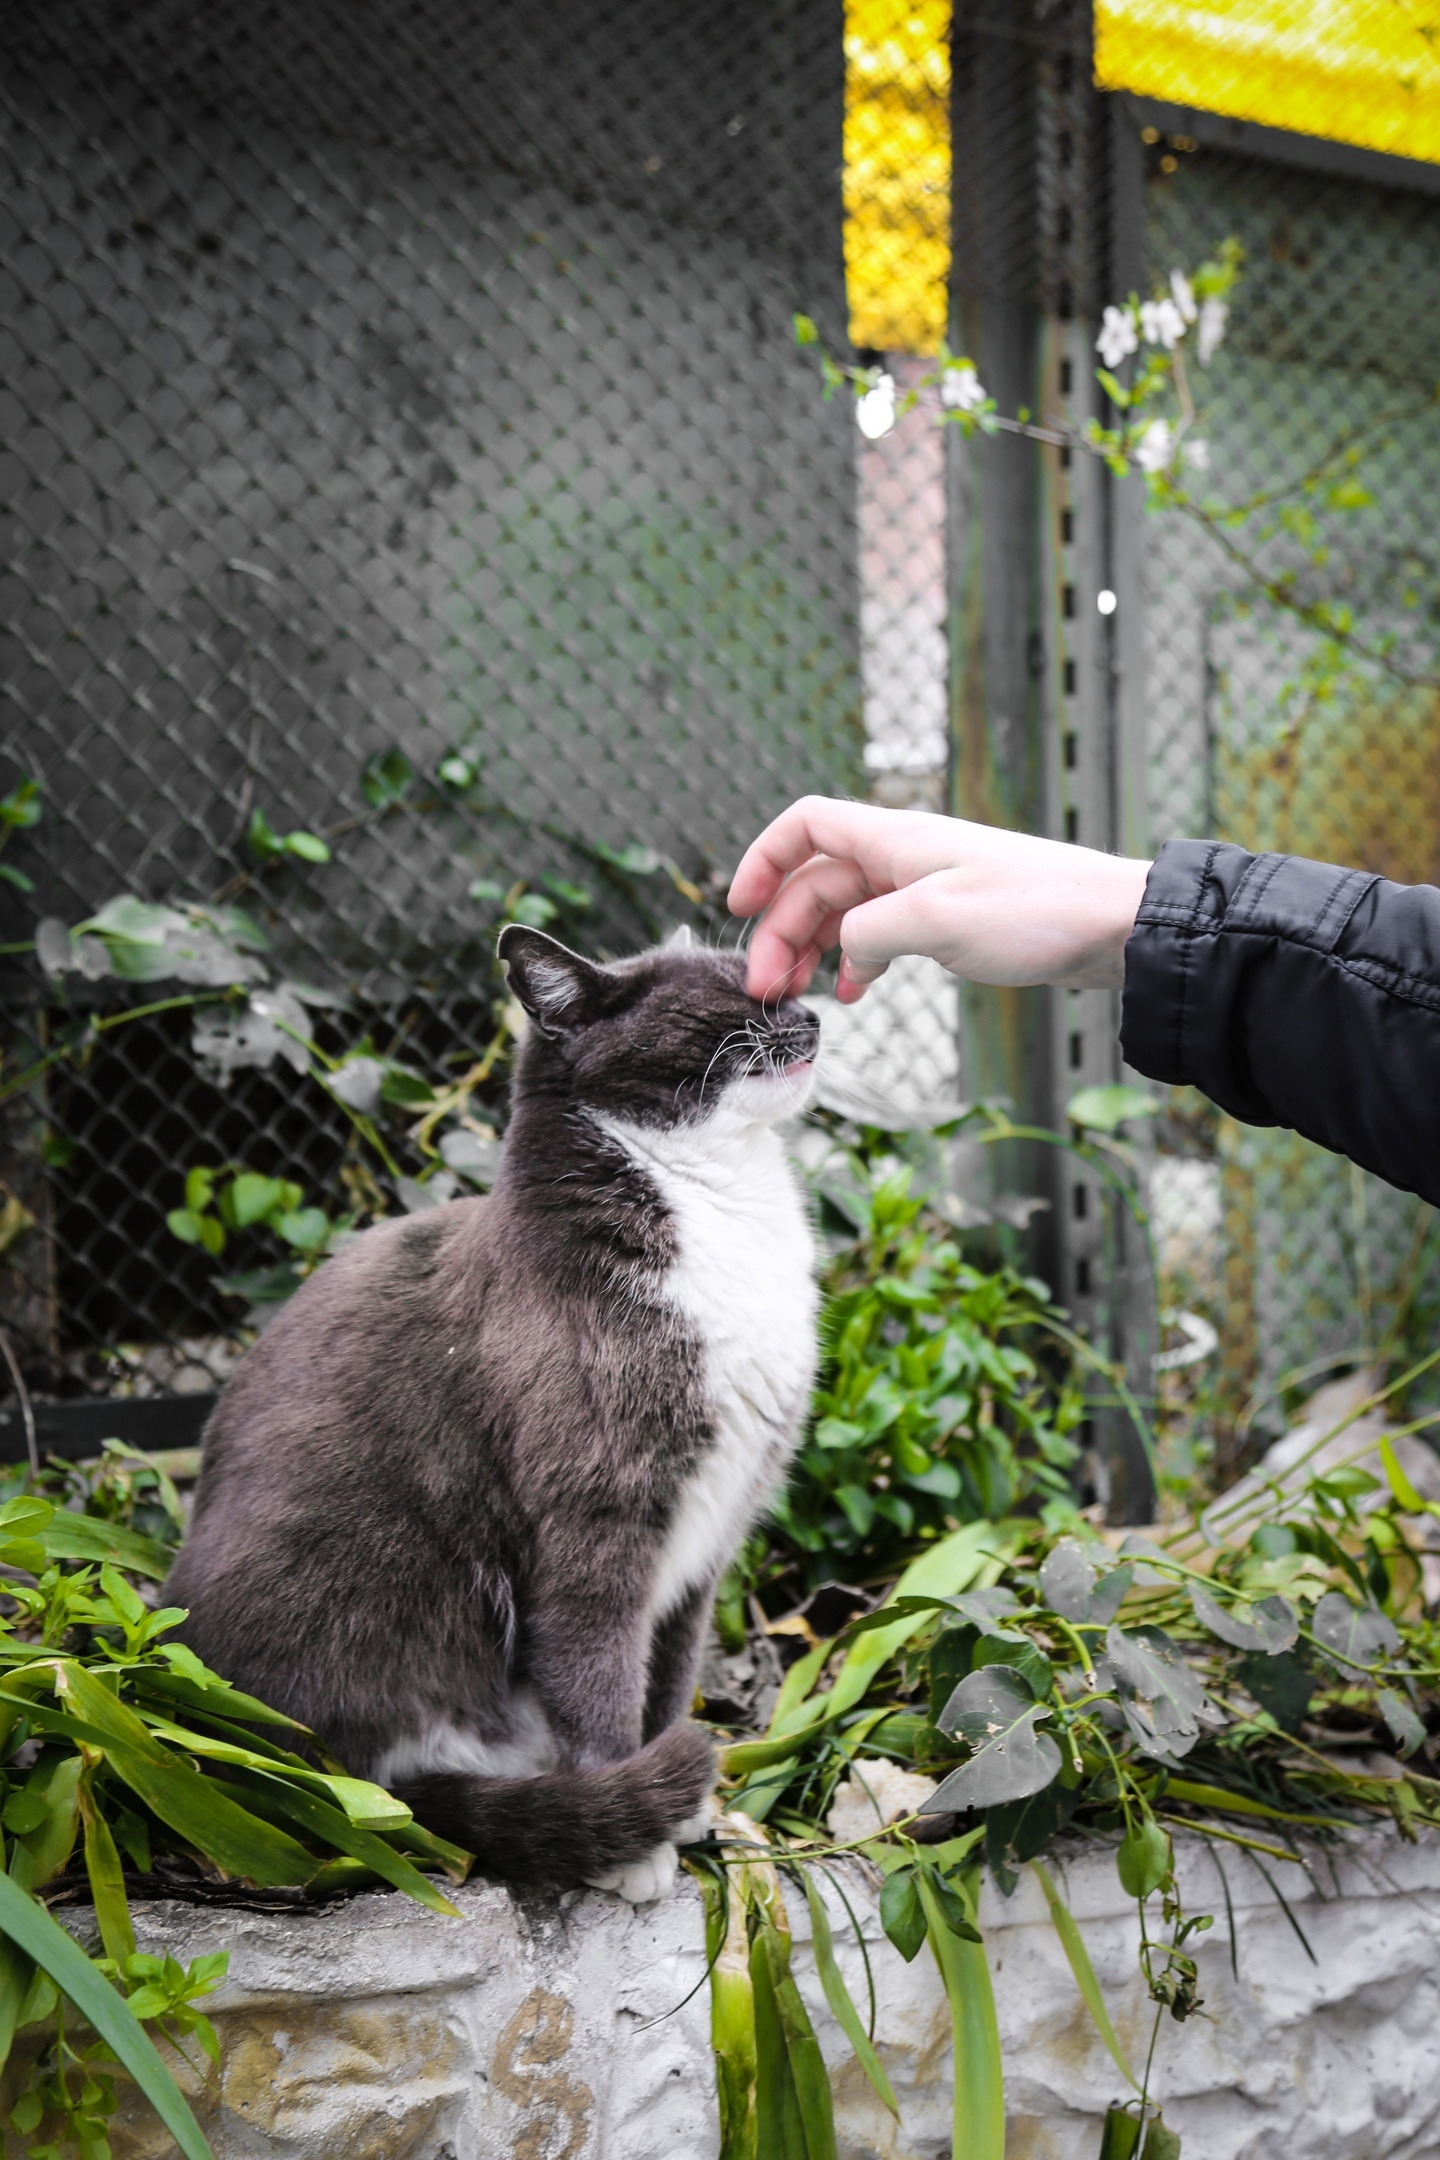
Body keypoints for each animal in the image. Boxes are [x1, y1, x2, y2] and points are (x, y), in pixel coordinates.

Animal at [166, 924, 820, 1892]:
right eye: (731, 995)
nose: (811, 1013)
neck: (718, 1208)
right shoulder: (593, 1519)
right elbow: (598, 1678)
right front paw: (634, 1842)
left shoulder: (709, 1538)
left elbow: (667, 1681)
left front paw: (682, 1804)